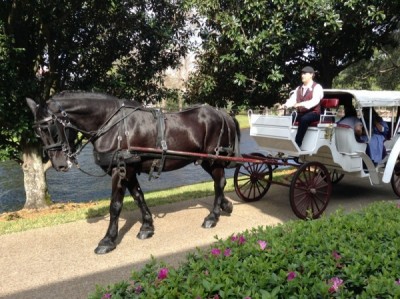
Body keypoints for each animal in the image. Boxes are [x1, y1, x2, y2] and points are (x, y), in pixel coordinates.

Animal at [28, 91, 242, 253]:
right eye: (37, 132)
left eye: (51, 127)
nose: (59, 164)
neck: (112, 126)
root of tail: (223, 113)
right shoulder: (129, 170)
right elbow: (139, 197)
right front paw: (147, 226)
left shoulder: (120, 170)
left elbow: (115, 205)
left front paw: (108, 240)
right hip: (207, 160)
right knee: (219, 182)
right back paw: (225, 205)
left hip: (213, 158)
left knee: (219, 182)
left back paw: (212, 216)